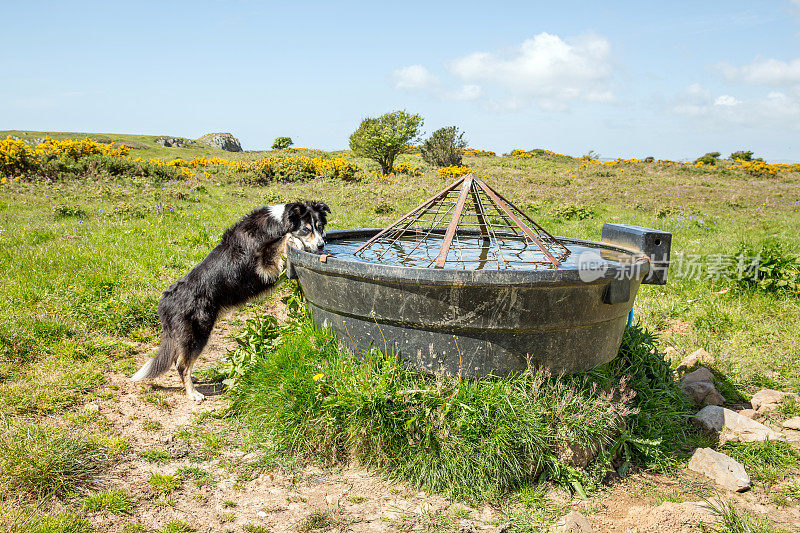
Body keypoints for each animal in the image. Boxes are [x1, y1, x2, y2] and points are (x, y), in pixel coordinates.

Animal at [131, 201, 328, 400]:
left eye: (320, 227)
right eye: (306, 229)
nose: (321, 245)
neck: (279, 222)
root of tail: (166, 301)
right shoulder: (263, 264)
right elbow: (283, 240)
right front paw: (295, 241)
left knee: (180, 359)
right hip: (197, 332)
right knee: (182, 365)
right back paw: (192, 393)